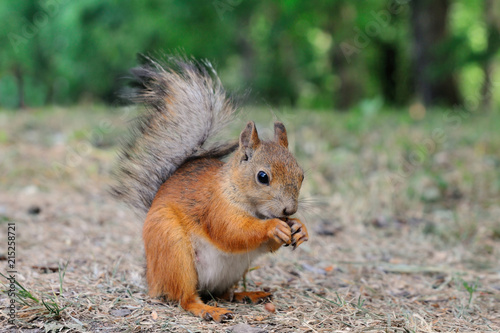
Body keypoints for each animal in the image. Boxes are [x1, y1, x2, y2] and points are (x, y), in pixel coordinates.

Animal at [110, 55, 308, 320]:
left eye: (301, 175)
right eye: (262, 176)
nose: (289, 210)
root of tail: (152, 276)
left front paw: (299, 228)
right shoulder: (216, 207)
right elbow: (232, 231)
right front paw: (274, 226)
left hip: (232, 270)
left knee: (221, 292)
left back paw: (247, 295)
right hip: (173, 250)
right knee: (185, 297)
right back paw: (208, 309)